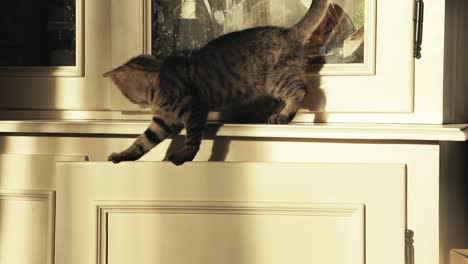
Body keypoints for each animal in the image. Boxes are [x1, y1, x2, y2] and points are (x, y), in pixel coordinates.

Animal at [102, 0, 330, 165]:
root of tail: (287, 32)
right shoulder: (162, 120)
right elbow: (142, 142)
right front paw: (123, 155)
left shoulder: (194, 109)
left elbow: (193, 138)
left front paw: (184, 155)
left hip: (276, 79)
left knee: (302, 91)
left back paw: (283, 115)